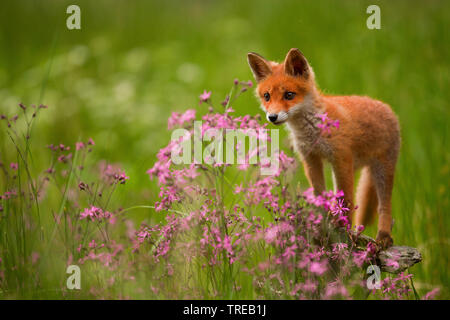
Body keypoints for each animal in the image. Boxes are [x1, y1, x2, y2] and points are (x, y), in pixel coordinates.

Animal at [248, 48, 400, 248]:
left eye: (289, 95)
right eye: (267, 96)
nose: (272, 117)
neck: (312, 130)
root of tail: (386, 106)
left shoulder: (342, 159)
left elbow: (346, 200)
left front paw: (344, 229)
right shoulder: (310, 158)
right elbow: (319, 194)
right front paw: (322, 224)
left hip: (383, 170)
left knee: (385, 205)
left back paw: (383, 236)